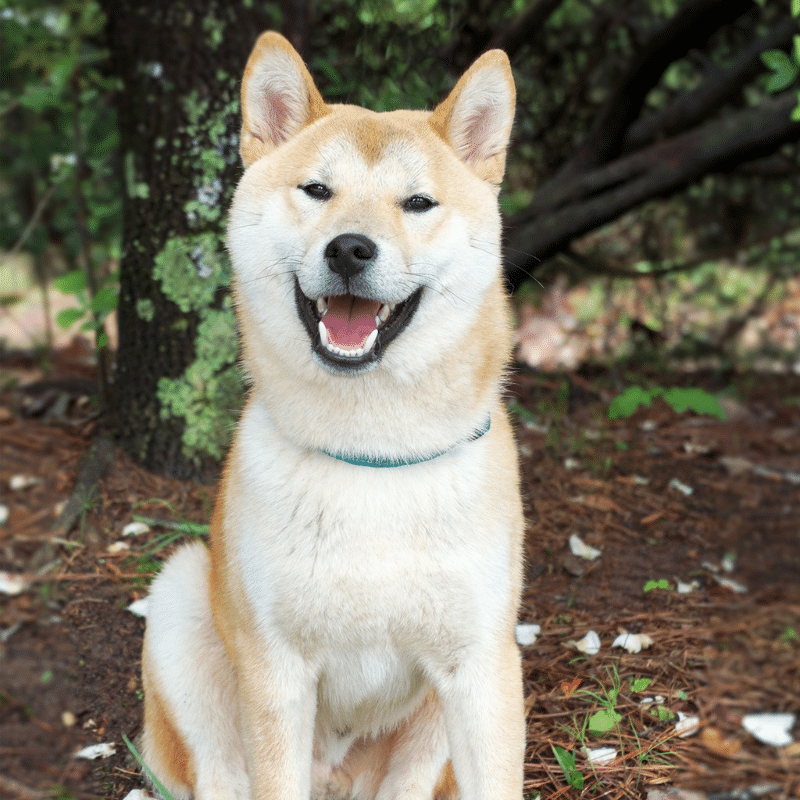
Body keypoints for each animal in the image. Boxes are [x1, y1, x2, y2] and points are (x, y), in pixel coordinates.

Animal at [139, 31, 524, 800]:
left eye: (418, 203)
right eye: (317, 190)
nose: (350, 247)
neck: (371, 456)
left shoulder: (482, 668)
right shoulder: (277, 672)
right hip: (180, 598)